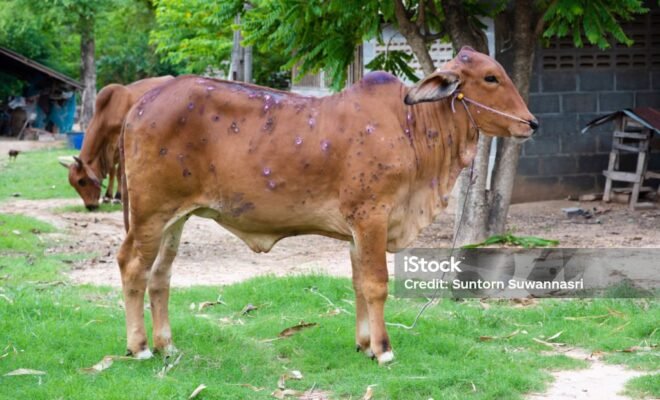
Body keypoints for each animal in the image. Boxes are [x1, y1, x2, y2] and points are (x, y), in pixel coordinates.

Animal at [59, 76, 173, 210]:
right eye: (73, 184)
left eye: (81, 181)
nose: (90, 206)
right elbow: (112, 170)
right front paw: (108, 196)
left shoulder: (120, 144)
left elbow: (119, 172)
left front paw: (118, 197)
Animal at [117, 47, 537, 364]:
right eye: (491, 78)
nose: (531, 123)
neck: (411, 124)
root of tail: (139, 104)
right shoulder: (372, 217)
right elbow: (376, 284)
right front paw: (384, 350)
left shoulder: (356, 230)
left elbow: (358, 284)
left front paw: (365, 344)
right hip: (150, 212)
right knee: (133, 266)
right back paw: (139, 347)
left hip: (176, 220)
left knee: (161, 275)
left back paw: (167, 345)